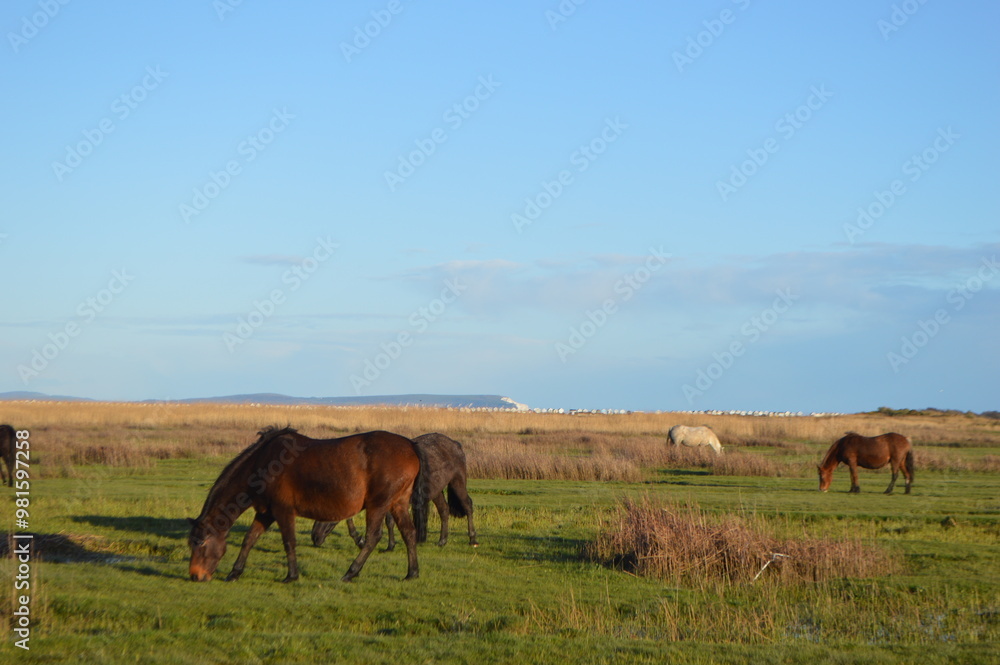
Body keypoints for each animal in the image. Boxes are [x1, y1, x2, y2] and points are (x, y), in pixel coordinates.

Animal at [187, 427, 428, 583]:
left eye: (199, 542)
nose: (195, 575)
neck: (262, 464)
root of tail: (410, 445)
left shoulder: (283, 511)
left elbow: (289, 542)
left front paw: (291, 576)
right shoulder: (266, 513)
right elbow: (249, 539)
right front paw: (235, 572)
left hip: (379, 504)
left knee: (372, 538)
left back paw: (351, 572)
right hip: (398, 503)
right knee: (409, 533)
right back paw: (412, 573)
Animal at [311, 432, 478, 550]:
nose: (315, 537)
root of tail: (455, 444)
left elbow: (389, 522)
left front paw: (389, 545)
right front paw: (360, 540)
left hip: (457, 482)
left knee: (467, 505)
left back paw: (472, 539)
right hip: (436, 491)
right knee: (444, 510)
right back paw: (442, 541)